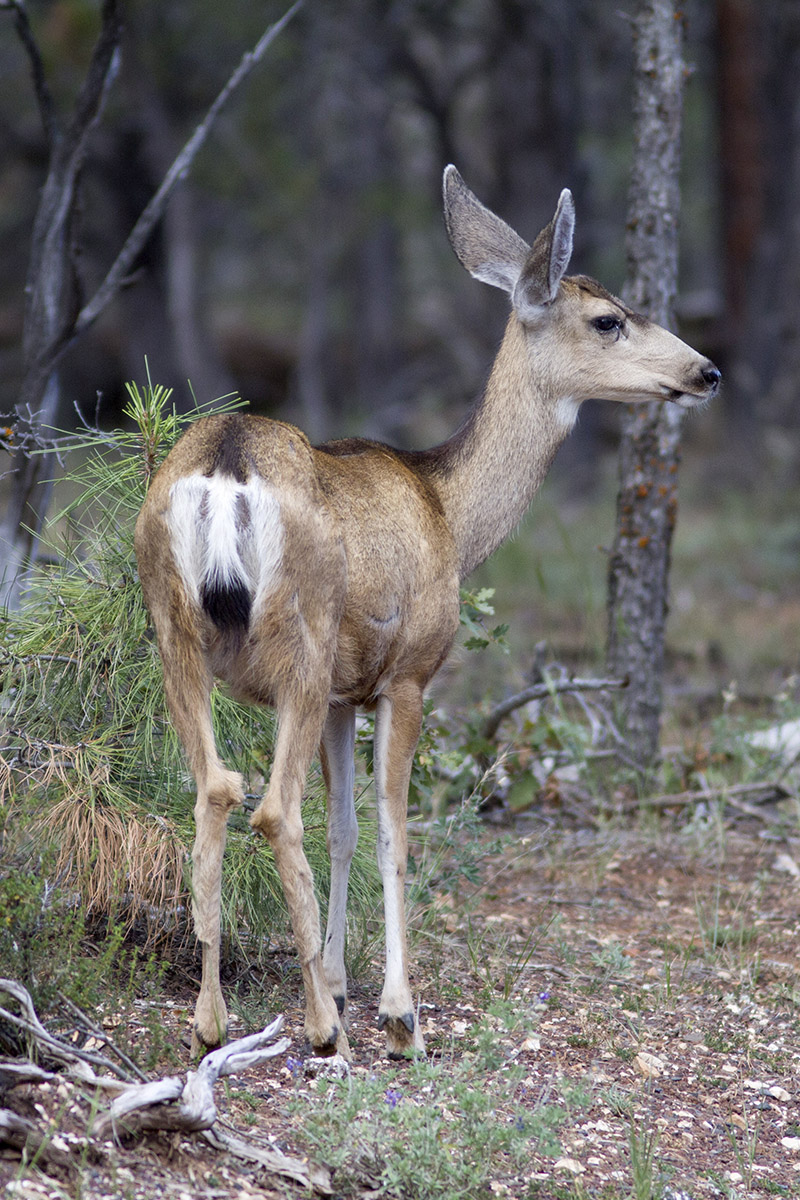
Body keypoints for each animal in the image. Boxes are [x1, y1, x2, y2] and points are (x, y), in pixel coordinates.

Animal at [134, 166, 720, 1061]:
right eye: (608, 318)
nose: (706, 371)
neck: (450, 510)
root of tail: (225, 468)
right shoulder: (406, 673)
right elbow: (393, 832)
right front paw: (395, 1010)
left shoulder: (346, 693)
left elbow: (345, 828)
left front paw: (342, 976)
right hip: (298, 639)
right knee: (273, 808)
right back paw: (321, 1029)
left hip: (176, 633)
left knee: (214, 790)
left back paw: (211, 1023)